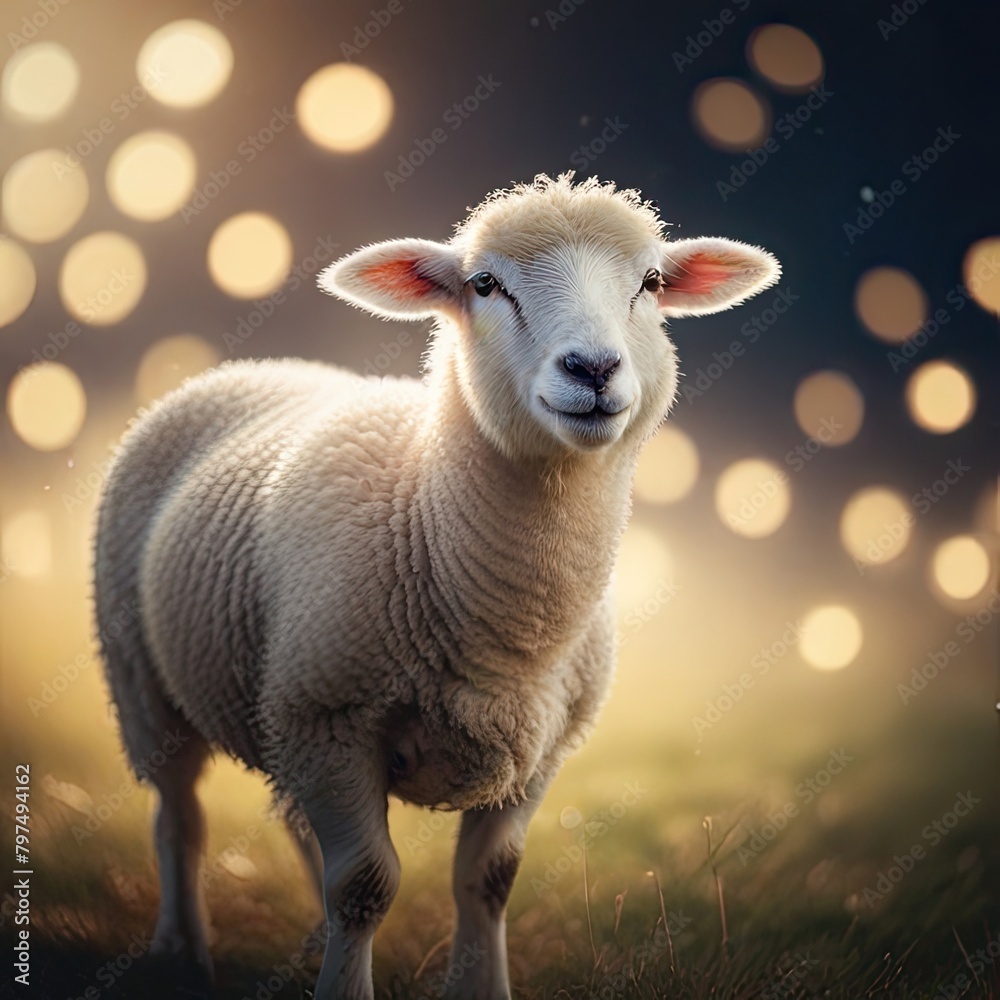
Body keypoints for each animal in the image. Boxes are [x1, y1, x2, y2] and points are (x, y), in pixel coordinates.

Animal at [94, 173, 779, 999]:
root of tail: (247, 367)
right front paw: (345, 986)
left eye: (650, 283)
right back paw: (182, 949)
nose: (592, 369)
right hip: (144, 685)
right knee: (179, 818)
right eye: (485, 284)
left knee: (290, 824)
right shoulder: (333, 718)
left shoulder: (539, 748)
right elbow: (363, 885)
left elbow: (489, 880)